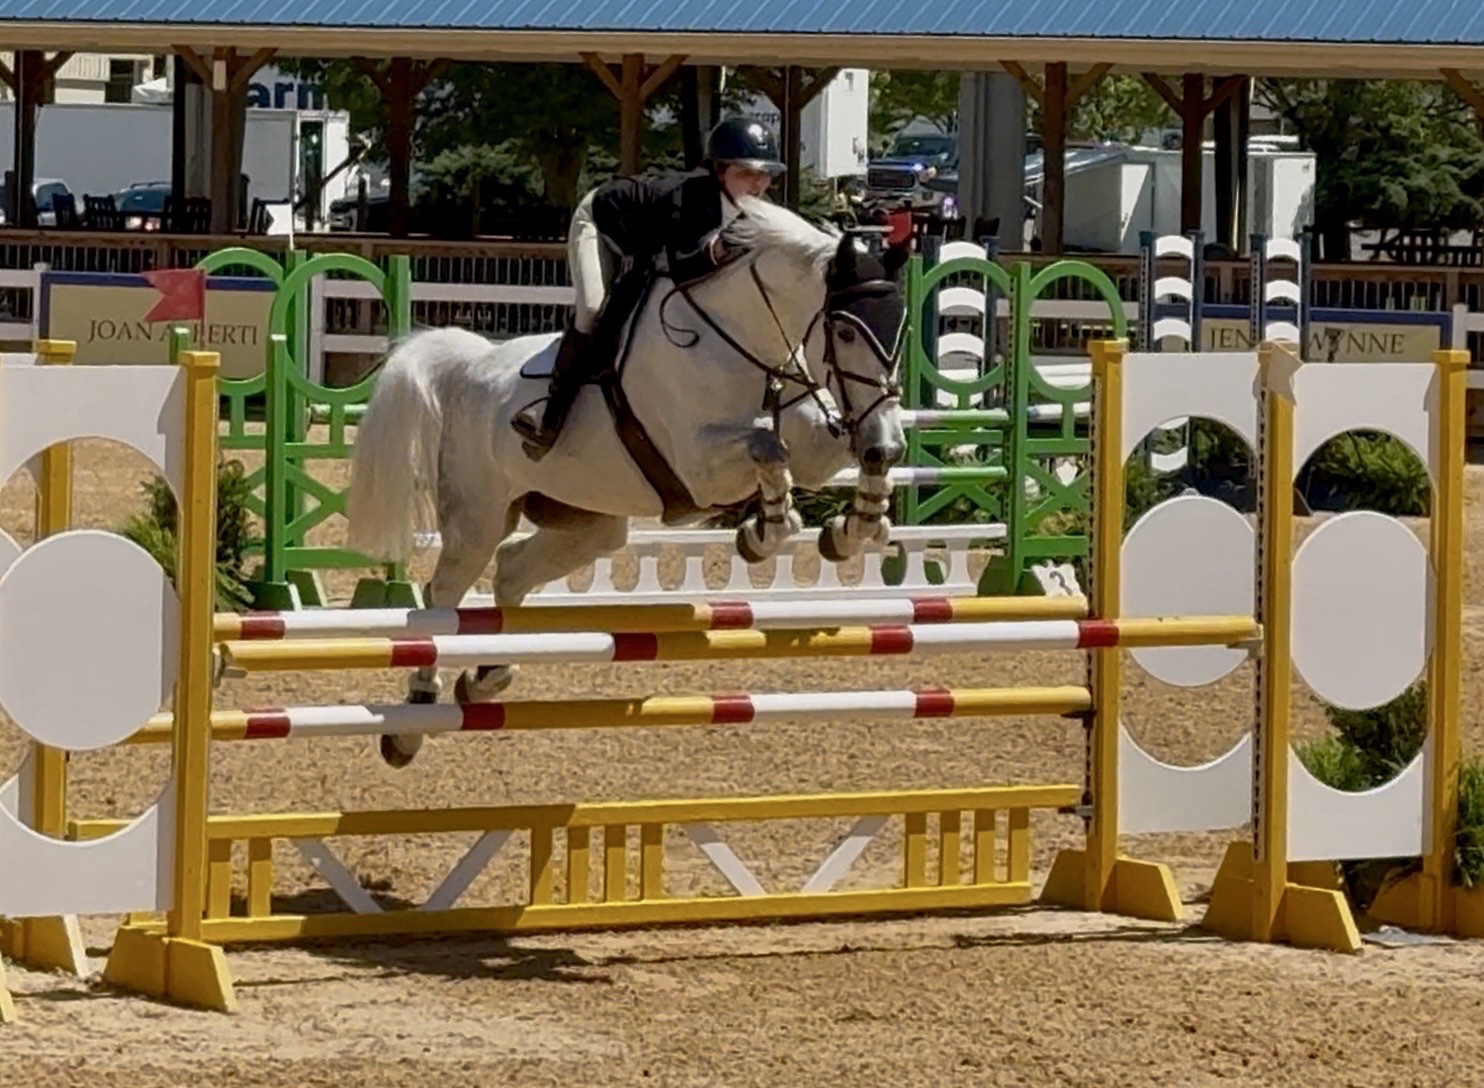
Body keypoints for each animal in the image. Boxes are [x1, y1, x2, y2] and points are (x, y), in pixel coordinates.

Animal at [344, 194, 911, 769]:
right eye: (844, 331)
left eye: (900, 329)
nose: (882, 441)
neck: (745, 339)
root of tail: (469, 364)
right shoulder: (698, 465)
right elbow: (769, 450)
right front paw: (766, 531)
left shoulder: (813, 443)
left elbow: (824, 459)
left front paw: (853, 527)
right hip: (478, 518)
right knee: (443, 594)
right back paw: (412, 719)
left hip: (589, 521)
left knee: (511, 572)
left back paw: (488, 675)